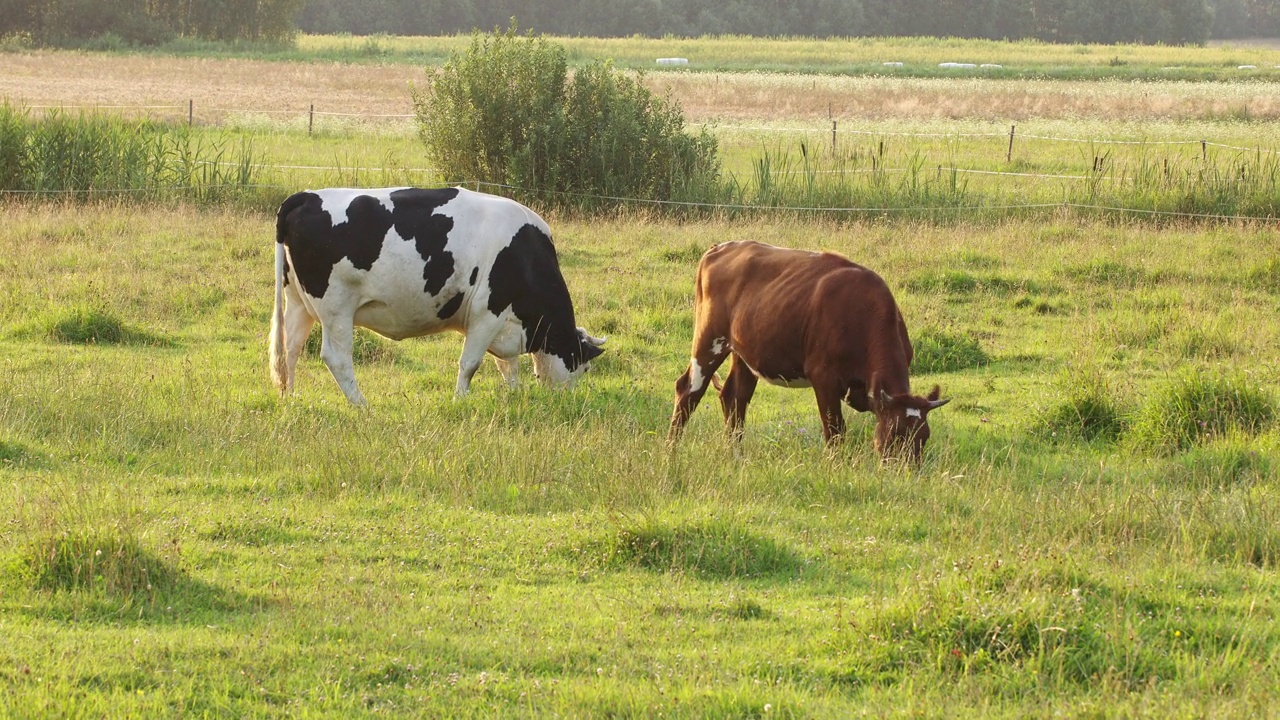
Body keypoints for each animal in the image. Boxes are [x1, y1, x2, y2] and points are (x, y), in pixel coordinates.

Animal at [268, 185, 604, 404]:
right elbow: (471, 363)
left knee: (291, 348)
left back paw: (291, 397)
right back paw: (361, 404)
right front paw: (460, 400)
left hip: (298, 303)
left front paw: (513, 394)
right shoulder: (487, 314)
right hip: (336, 307)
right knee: (336, 357)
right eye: (585, 366)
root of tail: (305, 196)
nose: (568, 401)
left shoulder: (505, 324)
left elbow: (508, 367)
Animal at [665, 239, 947, 458]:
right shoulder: (823, 378)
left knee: (734, 397)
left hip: (743, 351)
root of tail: (720, 247)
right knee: (689, 390)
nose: (906, 473)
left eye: (924, 436)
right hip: (709, 339)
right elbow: (834, 432)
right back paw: (671, 452)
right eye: (894, 434)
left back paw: (736, 455)